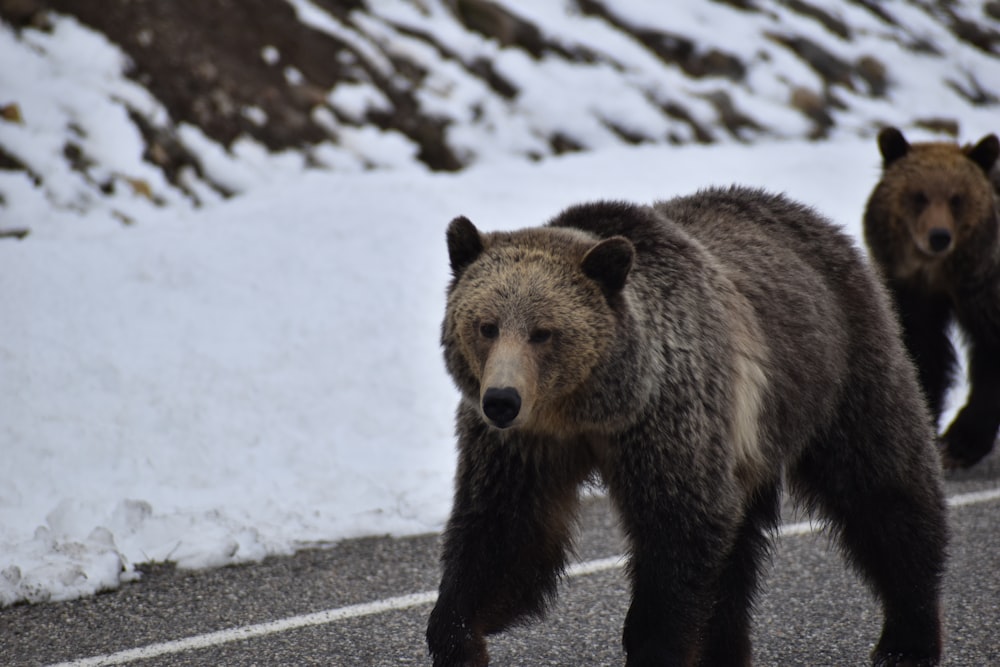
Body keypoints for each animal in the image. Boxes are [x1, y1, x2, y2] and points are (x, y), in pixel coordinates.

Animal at [426, 187, 948, 667]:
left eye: (543, 332)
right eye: (486, 325)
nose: (501, 401)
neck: (588, 407)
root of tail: (812, 217)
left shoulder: (666, 416)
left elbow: (679, 526)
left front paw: (653, 644)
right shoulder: (524, 446)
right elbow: (504, 530)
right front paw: (457, 637)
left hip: (840, 368)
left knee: (881, 486)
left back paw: (908, 638)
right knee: (740, 551)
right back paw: (727, 650)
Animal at [864, 126, 1000, 470]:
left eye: (957, 198)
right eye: (919, 196)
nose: (939, 236)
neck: (942, 275)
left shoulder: (985, 288)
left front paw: (961, 443)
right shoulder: (912, 295)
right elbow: (923, 352)